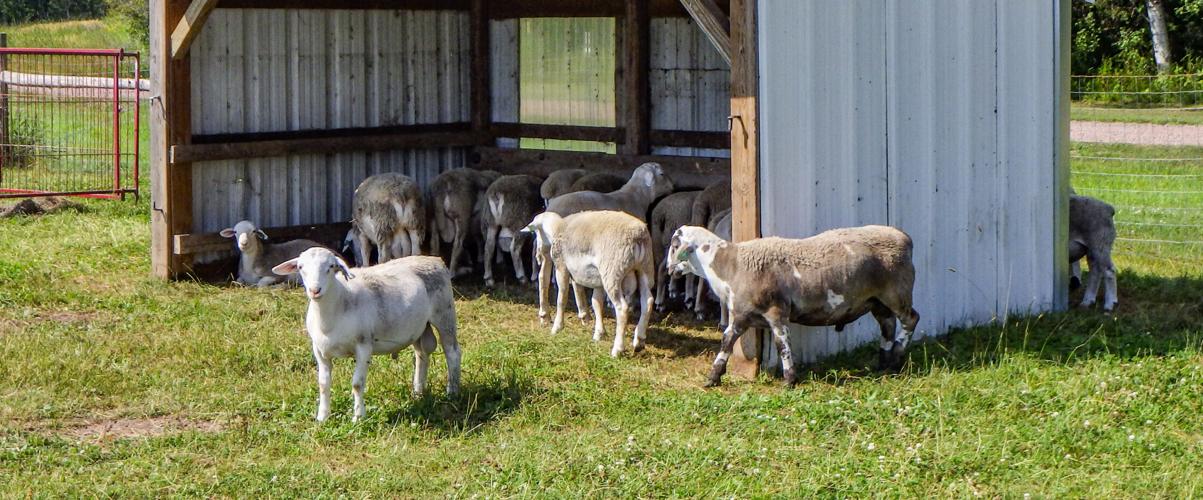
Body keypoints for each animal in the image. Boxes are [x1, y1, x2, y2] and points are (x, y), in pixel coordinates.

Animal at [272, 248, 461, 422]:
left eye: (331, 266)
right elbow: (323, 384)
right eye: (300, 267)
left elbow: (357, 384)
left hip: (444, 313)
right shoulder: (319, 350)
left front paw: (358, 417)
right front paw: (322, 417)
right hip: (419, 326)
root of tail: (434, 259)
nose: (315, 290)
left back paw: (452, 391)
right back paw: (418, 392)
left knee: (452, 353)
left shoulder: (364, 346)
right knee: (421, 355)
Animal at [524, 210, 655, 358]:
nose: (538, 256)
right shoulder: (597, 280)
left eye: (535, 233)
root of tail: (638, 236)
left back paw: (617, 349)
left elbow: (561, 298)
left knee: (622, 308)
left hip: (612, 271)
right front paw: (599, 333)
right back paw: (639, 341)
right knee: (648, 302)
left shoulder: (562, 267)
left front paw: (557, 327)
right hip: (645, 270)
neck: (557, 228)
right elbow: (596, 303)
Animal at [668, 225, 919, 387]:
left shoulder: (776, 311)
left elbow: (782, 345)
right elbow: (727, 342)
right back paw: (883, 363)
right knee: (887, 325)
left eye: (674, 244)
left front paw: (789, 380)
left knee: (910, 319)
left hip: (897, 293)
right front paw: (713, 377)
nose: (669, 269)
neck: (731, 264)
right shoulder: (741, 314)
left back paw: (897, 356)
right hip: (877, 300)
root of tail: (904, 238)